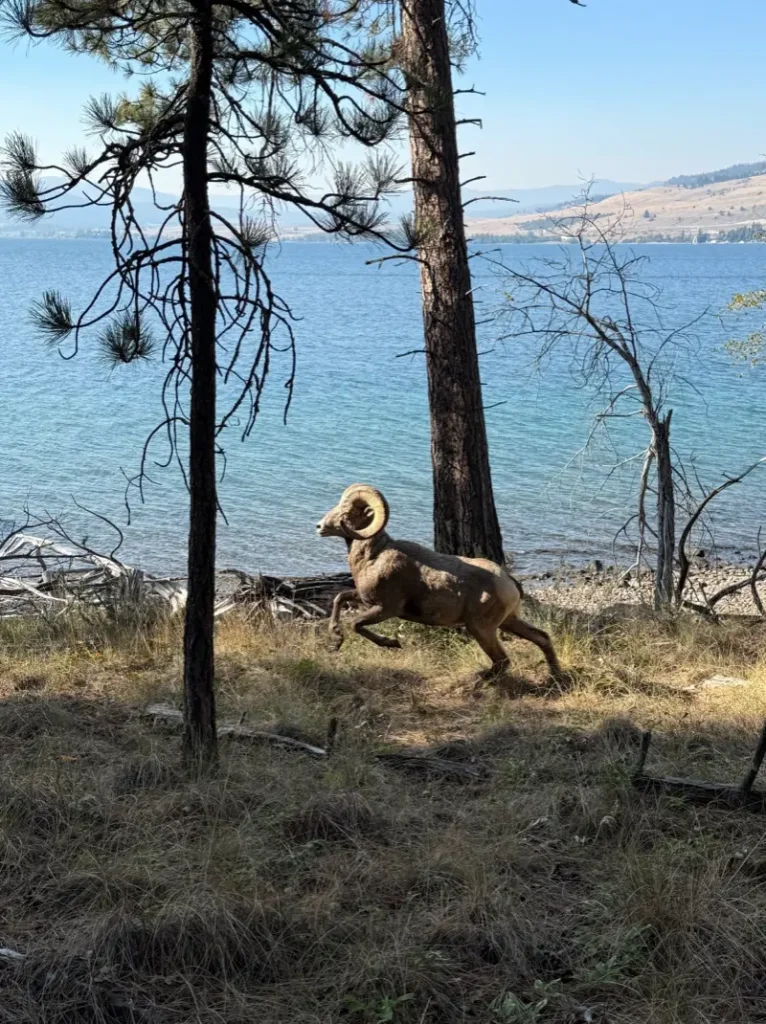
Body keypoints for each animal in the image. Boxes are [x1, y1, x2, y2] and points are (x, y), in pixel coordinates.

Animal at [316, 483, 562, 679]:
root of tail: (509, 582)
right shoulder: (363, 598)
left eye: (346, 511)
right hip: (509, 622)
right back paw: (554, 677)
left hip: (481, 628)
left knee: (502, 660)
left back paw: (478, 681)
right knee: (542, 638)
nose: (319, 527)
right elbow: (339, 599)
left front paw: (392, 644)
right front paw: (336, 641)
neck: (374, 556)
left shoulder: (386, 609)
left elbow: (356, 624)